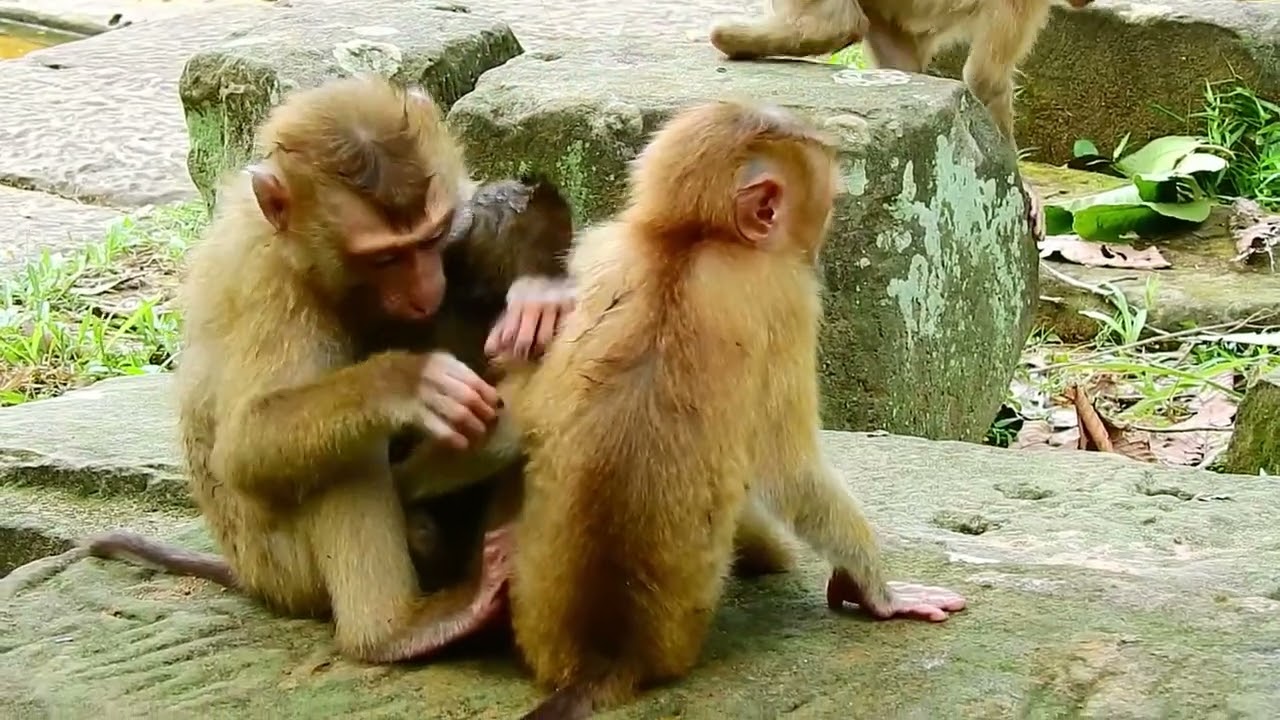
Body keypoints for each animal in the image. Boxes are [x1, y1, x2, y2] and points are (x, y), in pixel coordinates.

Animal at [79, 75, 576, 664]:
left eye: (430, 238)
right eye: (384, 258)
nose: (425, 289)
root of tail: (250, 578)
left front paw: (539, 288)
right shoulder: (268, 285)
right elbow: (245, 444)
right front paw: (407, 383)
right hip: (285, 568)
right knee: (340, 451)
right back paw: (395, 630)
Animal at [495, 100, 968, 720]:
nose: (823, 238)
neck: (689, 239)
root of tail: (606, 656)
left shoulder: (601, 244)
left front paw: (536, 308)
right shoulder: (789, 297)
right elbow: (791, 468)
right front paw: (873, 590)